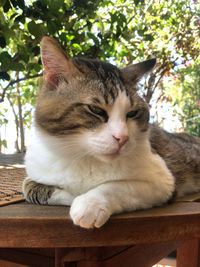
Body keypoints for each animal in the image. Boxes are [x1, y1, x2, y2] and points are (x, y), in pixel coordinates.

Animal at [22, 36, 200, 230]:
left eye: (132, 113)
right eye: (96, 110)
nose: (122, 137)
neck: (83, 158)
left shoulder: (163, 181)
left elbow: (116, 186)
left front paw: (90, 203)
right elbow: (30, 187)